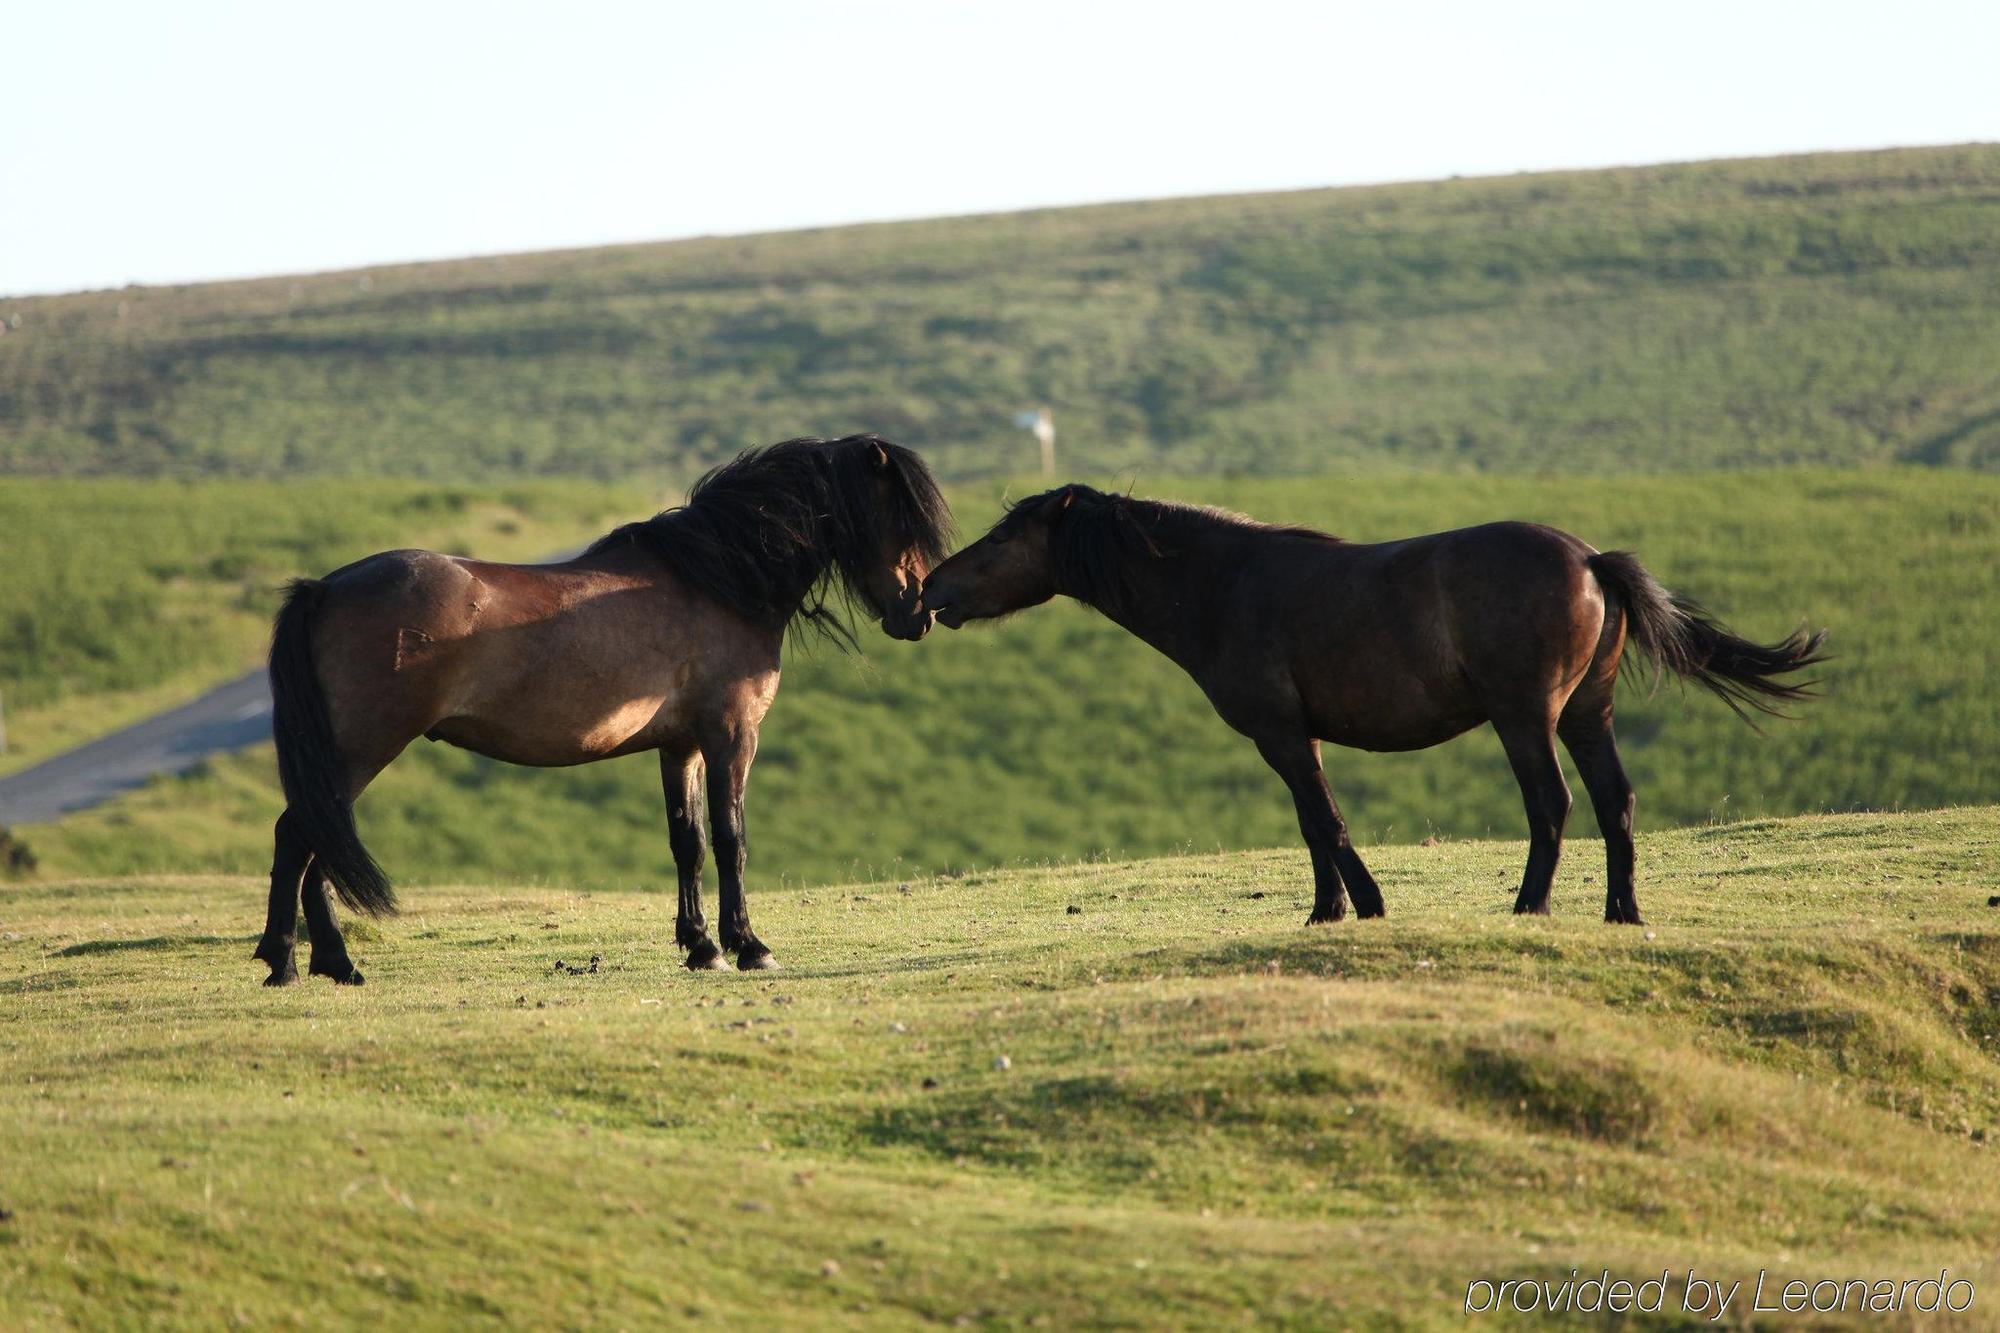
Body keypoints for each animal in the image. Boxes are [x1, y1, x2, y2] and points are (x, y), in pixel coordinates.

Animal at [260, 430, 952, 980]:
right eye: (899, 517)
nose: (918, 613)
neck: (716, 579)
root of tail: (325, 589)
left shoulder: (681, 746)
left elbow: (689, 840)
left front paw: (701, 947)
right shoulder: (731, 736)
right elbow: (732, 838)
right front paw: (749, 946)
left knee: (312, 841)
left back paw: (320, 961)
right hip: (360, 750)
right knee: (302, 834)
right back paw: (298, 962)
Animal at [920, 486, 1832, 924]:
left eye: (1004, 536)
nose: (929, 588)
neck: (1224, 585)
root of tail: (1590, 559)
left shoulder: (1280, 733)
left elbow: (1324, 821)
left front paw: (1360, 904)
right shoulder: (1298, 738)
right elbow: (1309, 823)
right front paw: (1327, 909)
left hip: (1525, 717)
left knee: (1553, 803)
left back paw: (1529, 905)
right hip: (1585, 714)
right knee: (1616, 802)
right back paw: (1621, 913)